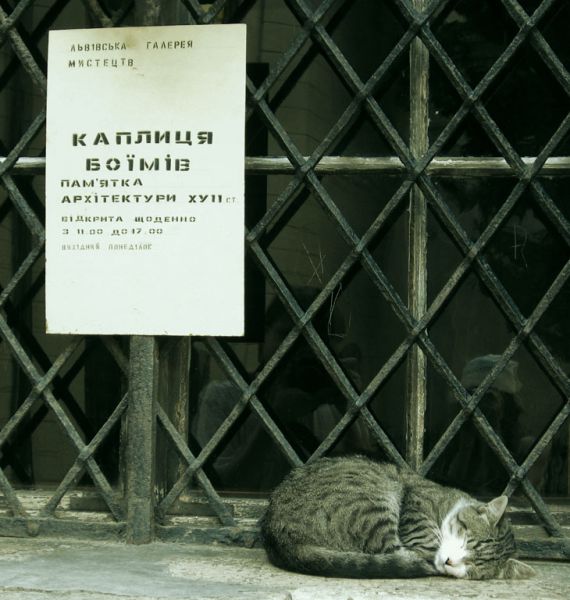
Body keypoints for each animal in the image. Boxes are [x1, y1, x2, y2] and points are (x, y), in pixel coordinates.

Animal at [260, 458, 536, 580]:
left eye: (474, 566)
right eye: (466, 541)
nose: (450, 561)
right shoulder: (416, 505)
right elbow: (426, 539)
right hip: (375, 502)